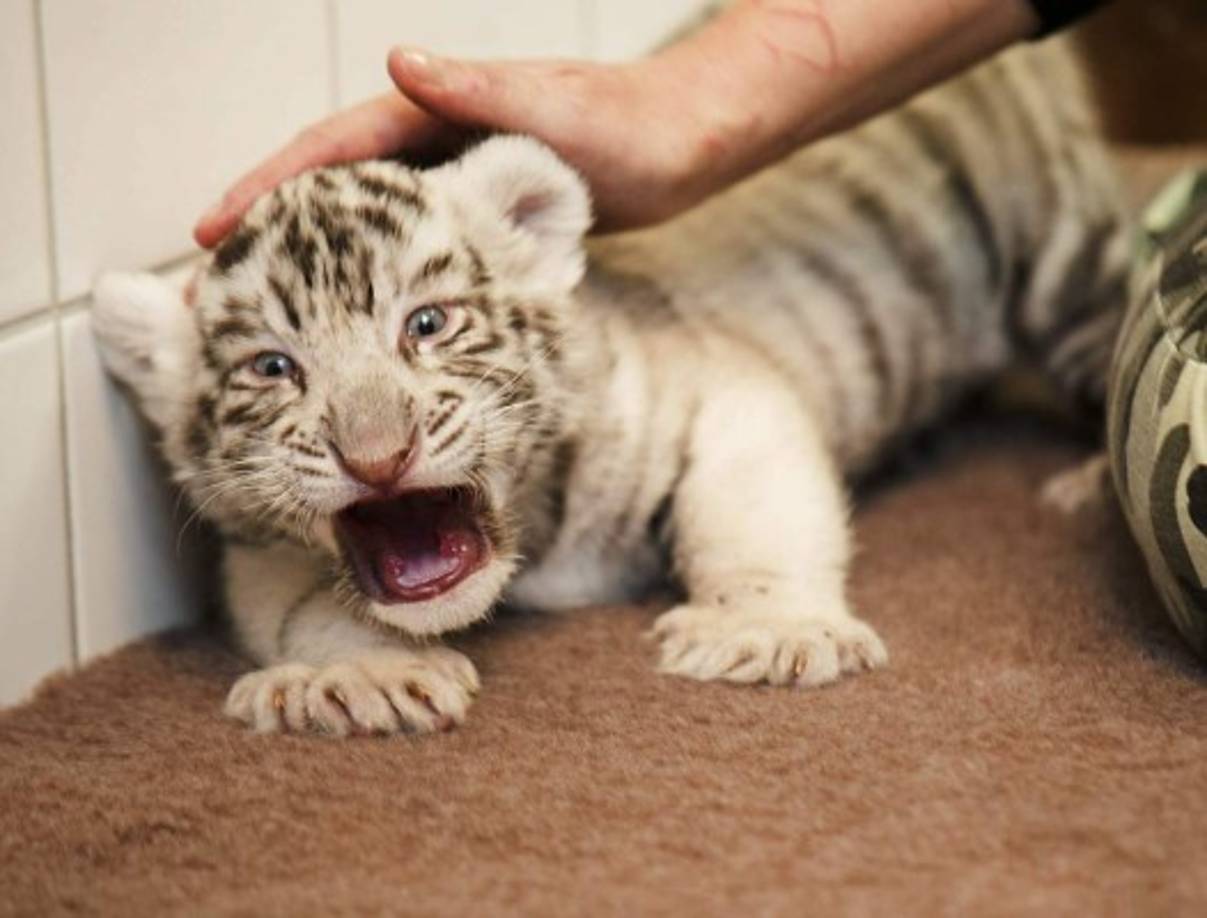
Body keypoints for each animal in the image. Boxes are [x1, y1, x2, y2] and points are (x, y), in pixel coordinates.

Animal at [91, 37, 1129, 737]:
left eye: (426, 324)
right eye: (274, 367)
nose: (378, 459)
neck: (530, 540)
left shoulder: (729, 397)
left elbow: (754, 518)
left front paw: (766, 632)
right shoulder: (254, 547)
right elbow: (301, 609)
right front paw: (357, 679)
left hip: (1064, 259)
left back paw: (1090, 483)